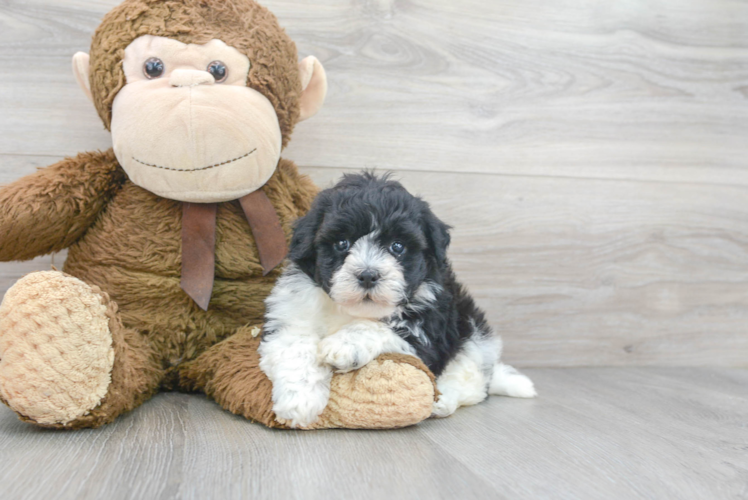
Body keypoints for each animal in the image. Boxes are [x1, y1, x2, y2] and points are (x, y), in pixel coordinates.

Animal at [260, 174, 536, 428]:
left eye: (397, 246)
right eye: (342, 243)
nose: (368, 275)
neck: (351, 310)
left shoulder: (429, 330)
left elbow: (381, 327)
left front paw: (344, 345)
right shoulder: (291, 314)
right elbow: (294, 346)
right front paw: (299, 401)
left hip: (473, 337)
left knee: (471, 383)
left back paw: (441, 401)